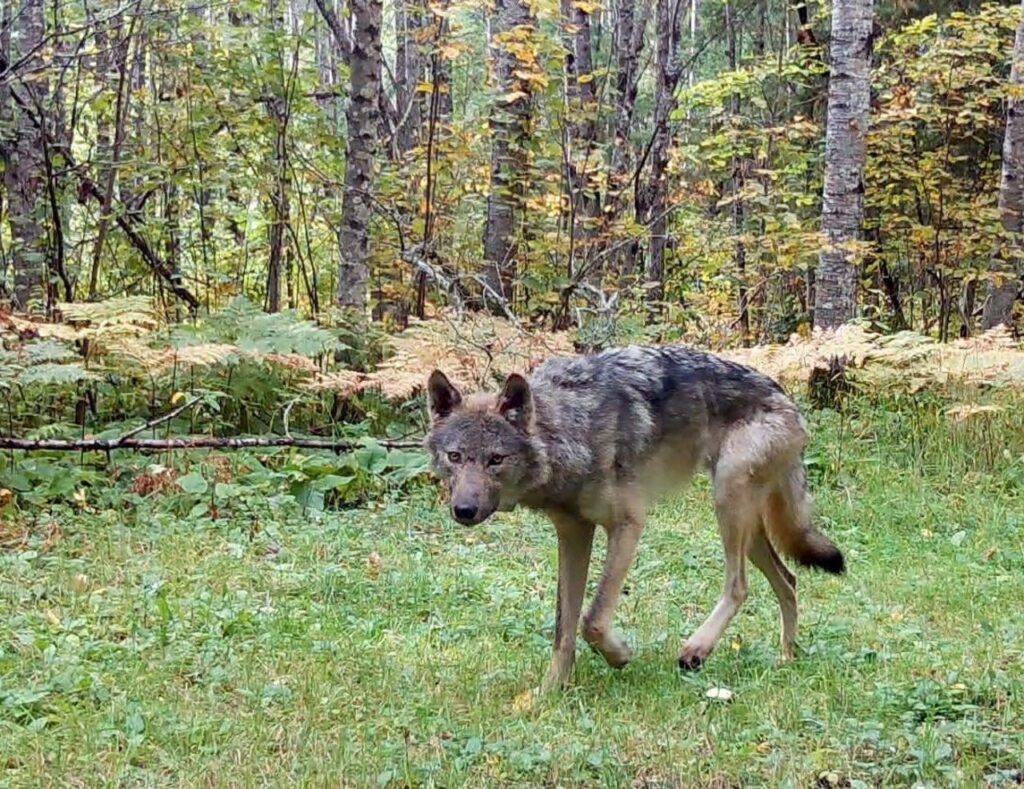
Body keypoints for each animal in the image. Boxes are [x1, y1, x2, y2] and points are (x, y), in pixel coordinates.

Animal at [424, 344, 845, 693]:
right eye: (455, 457)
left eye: (496, 459)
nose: (463, 511)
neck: (569, 429)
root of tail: (784, 395)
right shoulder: (573, 533)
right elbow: (563, 628)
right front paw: (547, 695)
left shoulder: (628, 524)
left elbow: (591, 619)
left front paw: (620, 655)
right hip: (747, 524)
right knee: (788, 580)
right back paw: (786, 659)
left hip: (727, 502)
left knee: (739, 586)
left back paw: (697, 649)